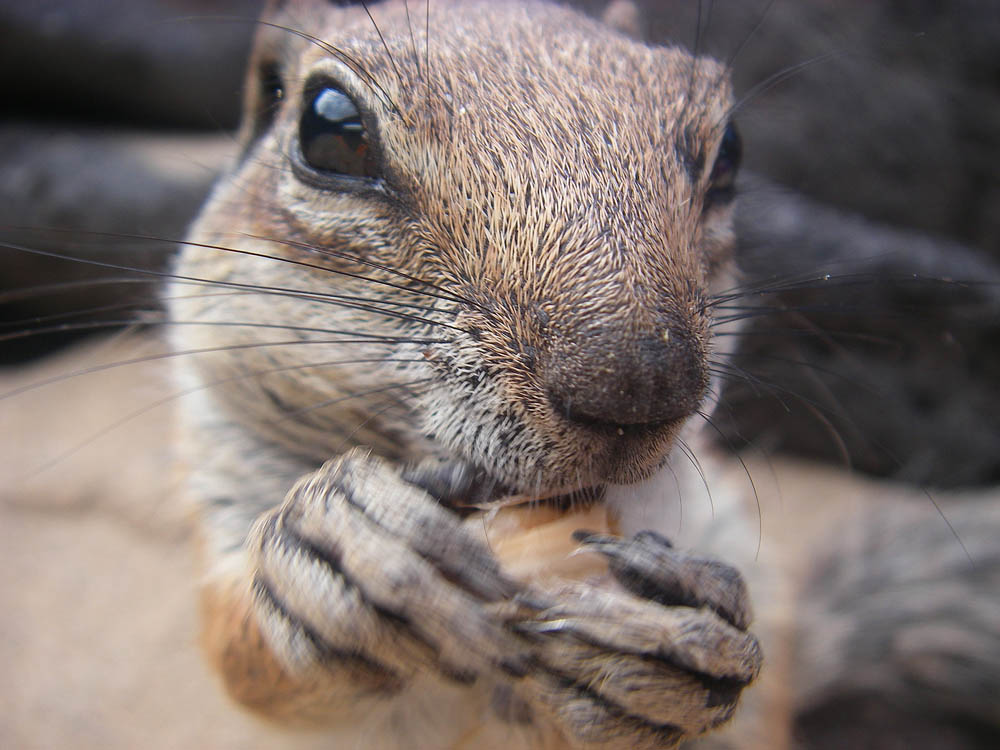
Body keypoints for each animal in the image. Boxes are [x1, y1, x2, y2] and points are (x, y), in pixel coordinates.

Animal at [162, 1, 1000, 750]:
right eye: (327, 126)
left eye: (730, 150)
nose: (635, 388)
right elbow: (236, 646)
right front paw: (339, 544)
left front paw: (688, 645)